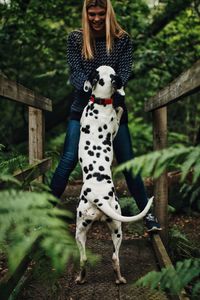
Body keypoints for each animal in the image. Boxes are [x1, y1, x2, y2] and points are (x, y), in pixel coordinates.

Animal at [75, 65, 153, 284]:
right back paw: (120, 279)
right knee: (115, 257)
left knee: (86, 258)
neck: (100, 102)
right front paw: (119, 108)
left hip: (83, 230)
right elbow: (117, 115)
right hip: (116, 227)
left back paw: (82, 278)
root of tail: (97, 196)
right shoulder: (115, 128)